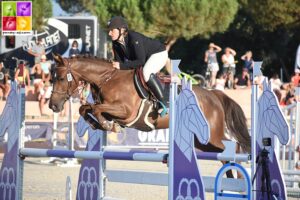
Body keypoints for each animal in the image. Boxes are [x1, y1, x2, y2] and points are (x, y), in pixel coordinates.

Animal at [49, 54, 251, 162]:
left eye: (61, 78)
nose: (53, 105)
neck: (107, 79)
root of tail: (214, 95)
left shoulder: (126, 112)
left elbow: (95, 108)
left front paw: (107, 125)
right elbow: (86, 109)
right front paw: (98, 124)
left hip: (212, 136)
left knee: (233, 146)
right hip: (202, 141)